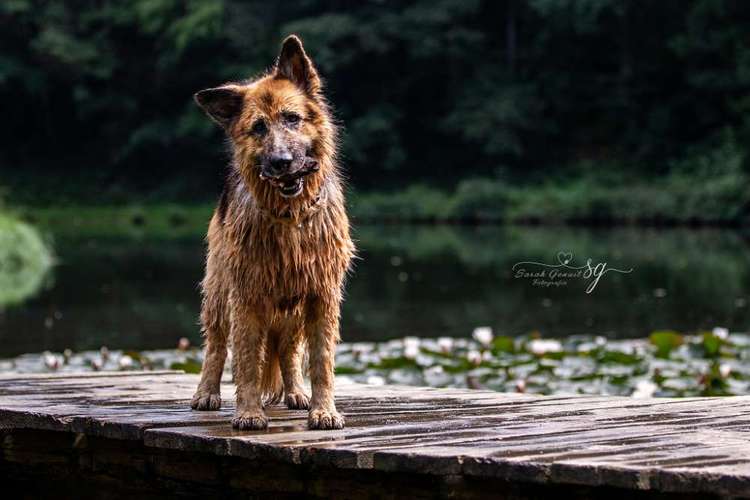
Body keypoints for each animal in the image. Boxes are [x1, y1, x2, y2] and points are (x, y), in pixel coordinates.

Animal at [191, 35, 356, 432]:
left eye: (292, 118)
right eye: (258, 128)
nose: (282, 163)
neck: (289, 217)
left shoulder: (321, 295)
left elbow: (322, 362)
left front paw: (323, 410)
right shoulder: (247, 297)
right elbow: (248, 360)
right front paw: (249, 412)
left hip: (292, 311)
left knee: (288, 350)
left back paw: (296, 392)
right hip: (219, 293)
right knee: (216, 345)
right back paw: (207, 392)